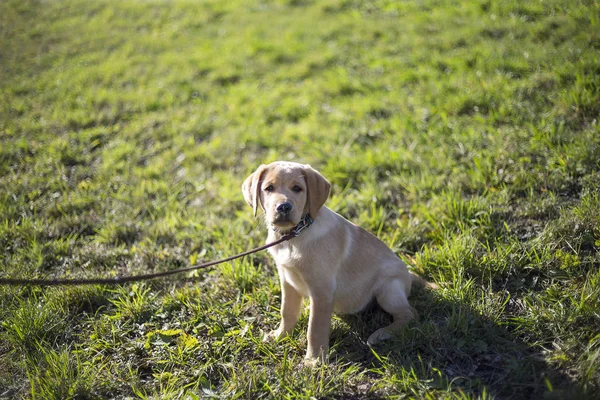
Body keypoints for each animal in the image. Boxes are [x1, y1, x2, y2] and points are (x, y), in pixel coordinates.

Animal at [241, 161, 428, 360]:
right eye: (269, 188)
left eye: (297, 188)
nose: (283, 207)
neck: (294, 236)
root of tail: (408, 274)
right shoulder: (287, 280)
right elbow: (287, 312)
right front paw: (280, 336)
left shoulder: (321, 290)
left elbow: (315, 328)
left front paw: (314, 360)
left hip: (388, 289)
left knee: (410, 314)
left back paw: (381, 334)